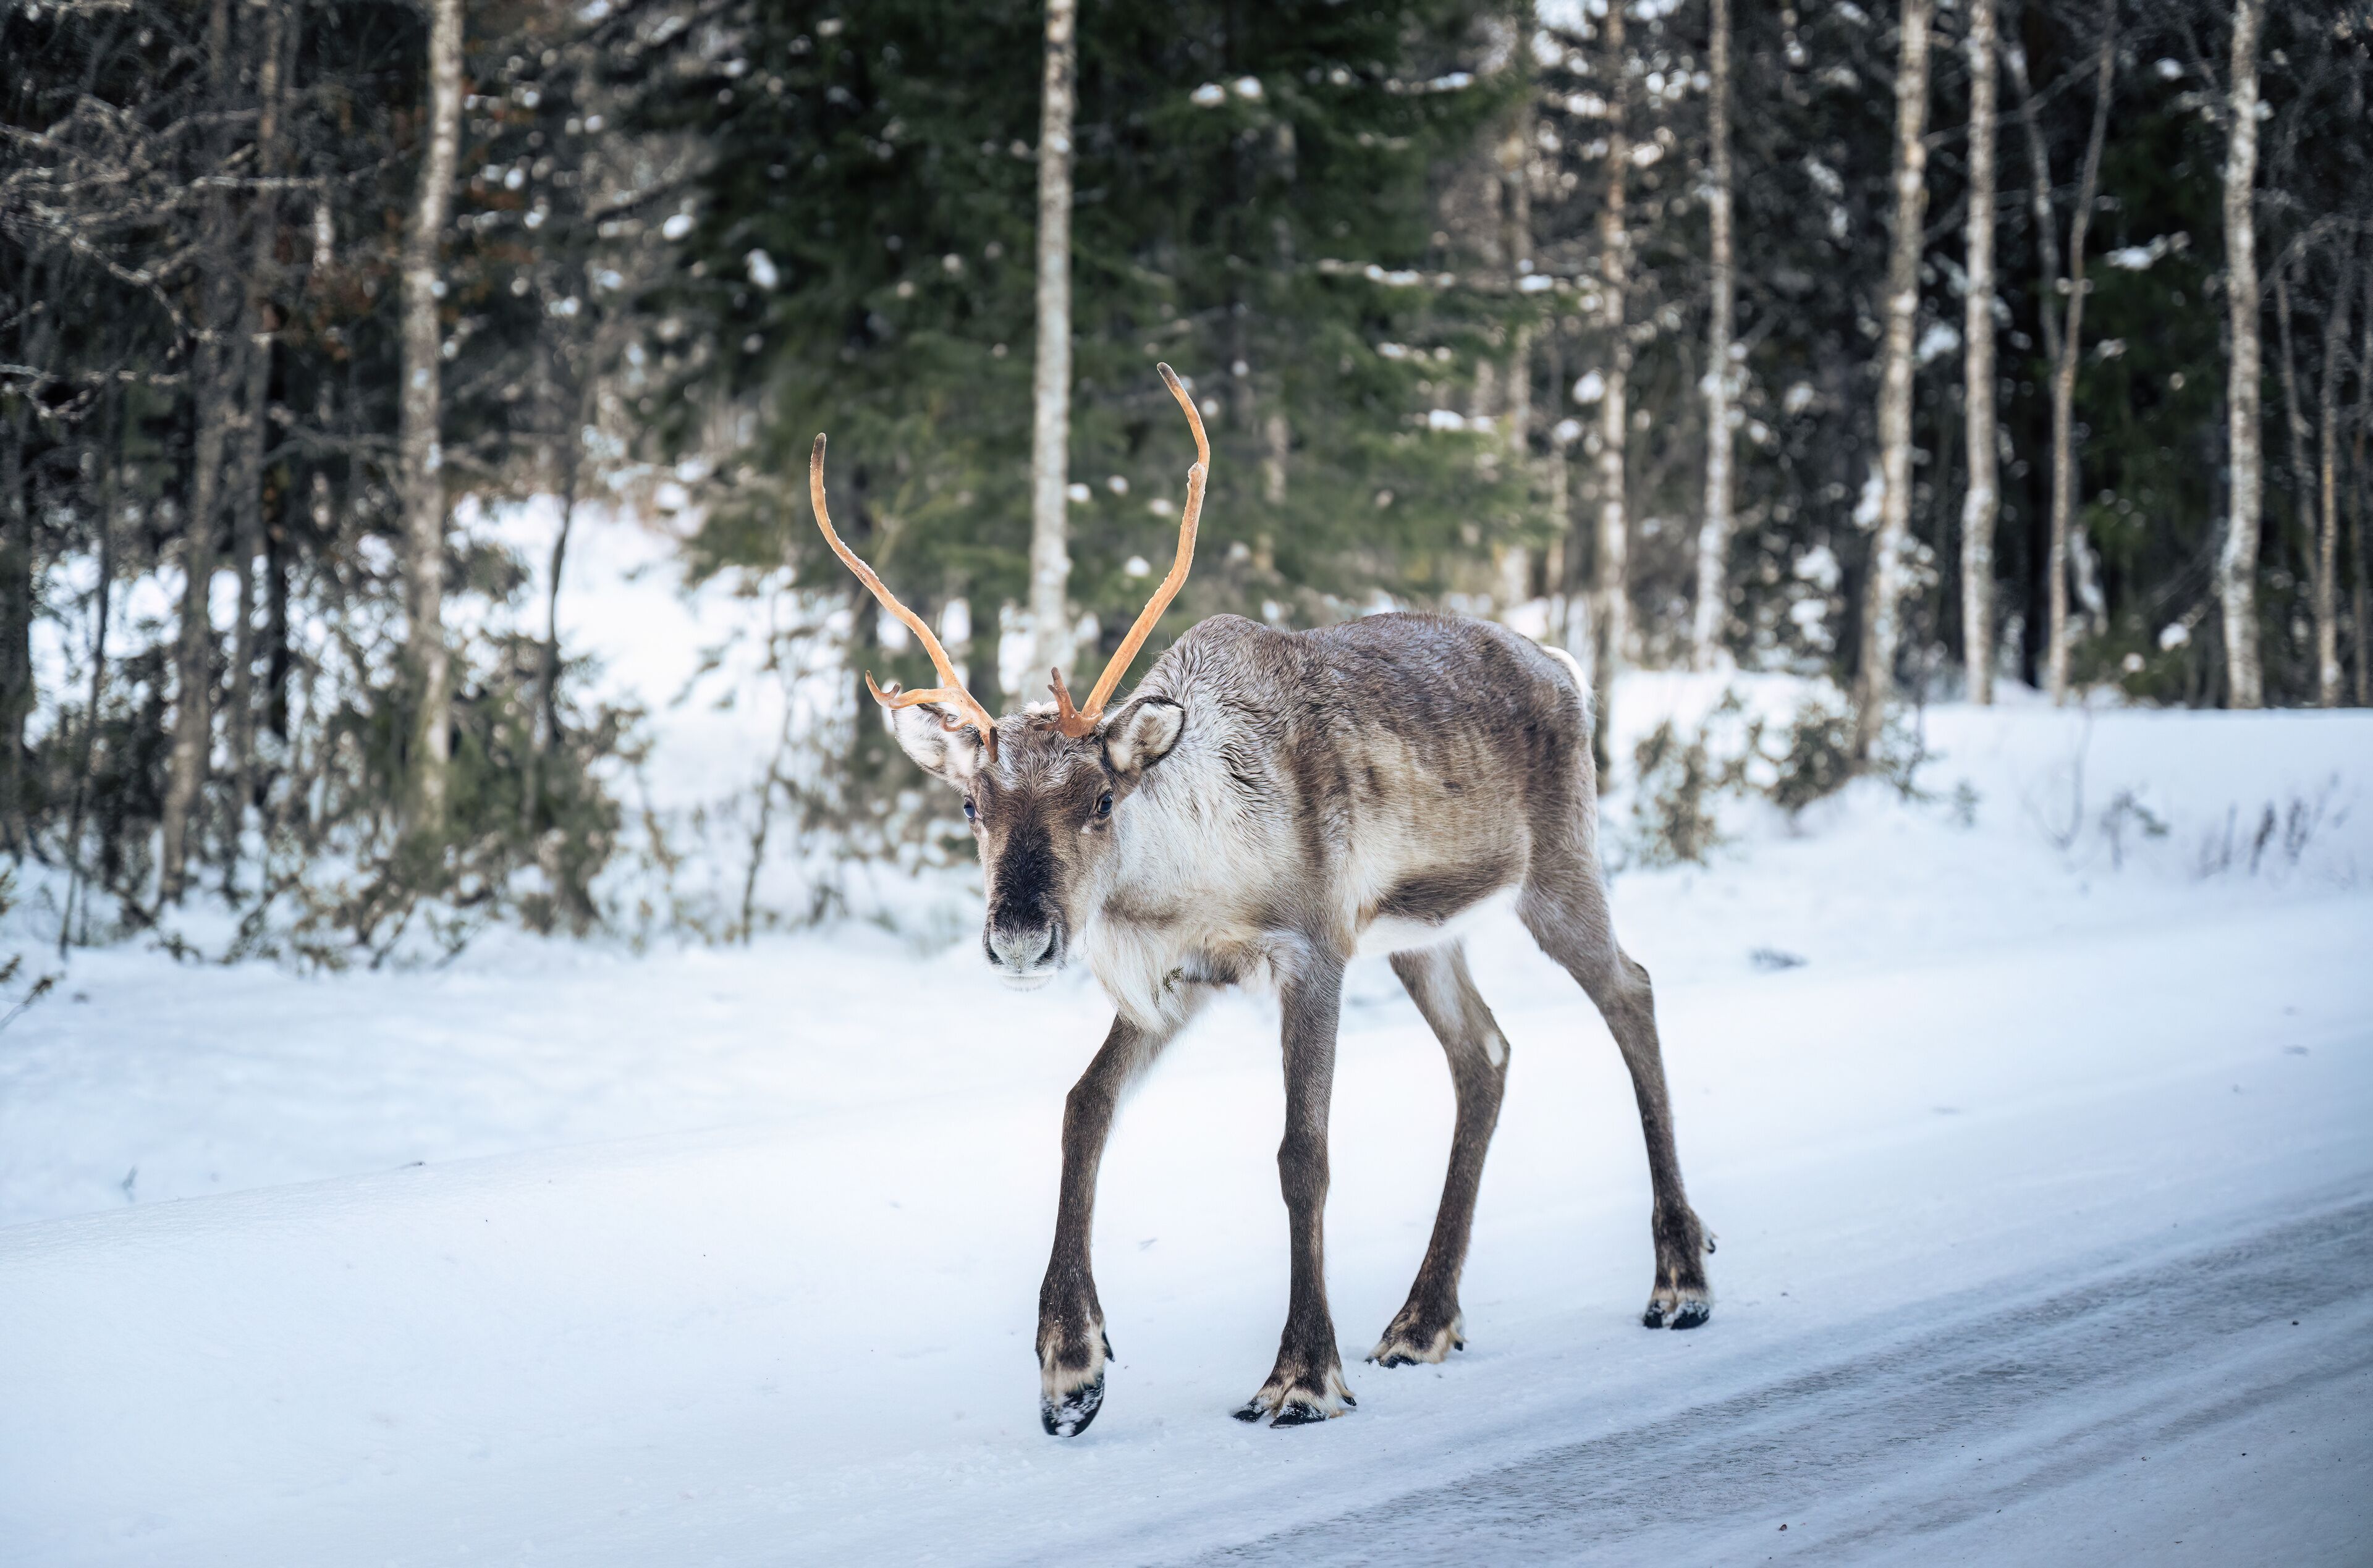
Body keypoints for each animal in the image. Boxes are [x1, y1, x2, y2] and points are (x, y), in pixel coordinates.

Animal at [808, 364, 1713, 1436]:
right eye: (969, 803)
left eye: (1103, 798)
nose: (1022, 935)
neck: (1183, 886)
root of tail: (1566, 667)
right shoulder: (1179, 983)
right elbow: (1083, 1107)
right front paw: (1072, 1367)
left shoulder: (1311, 948)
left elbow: (1302, 1152)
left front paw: (1301, 1375)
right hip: (1421, 933)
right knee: (1485, 1052)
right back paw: (1423, 1319)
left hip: (1559, 869)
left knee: (1632, 990)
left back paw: (1678, 1277)